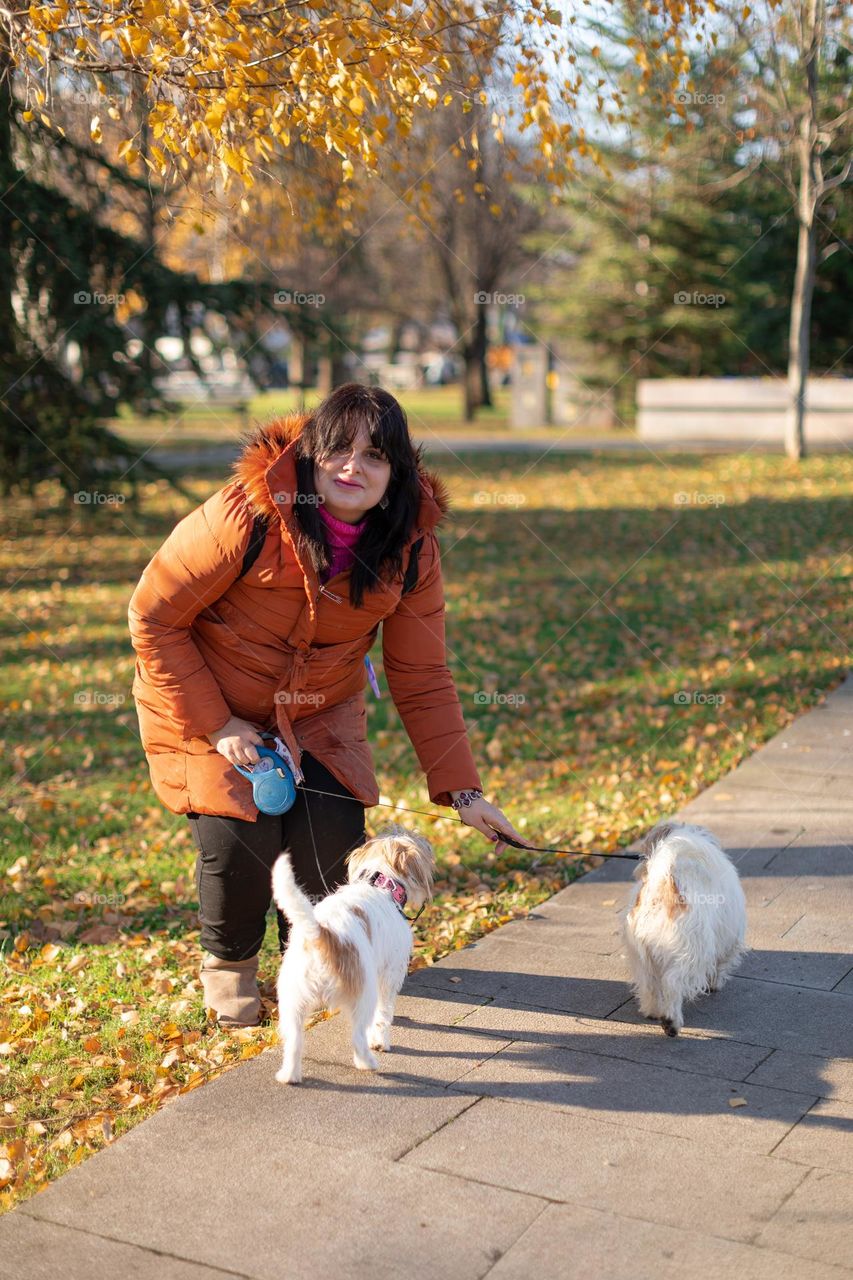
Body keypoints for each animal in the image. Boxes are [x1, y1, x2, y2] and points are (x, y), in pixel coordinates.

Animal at [270, 824, 435, 1085]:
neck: (381, 884)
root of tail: (321, 933)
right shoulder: (390, 975)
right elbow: (383, 1014)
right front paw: (380, 1042)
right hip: (363, 995)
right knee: (358, 1036)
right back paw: (367, 1062)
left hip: (291, 1002)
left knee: (294, 1042)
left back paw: (290, 1075)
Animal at [617, 819, 742, 1039]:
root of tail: (661, 881)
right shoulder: (728, 937)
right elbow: (721, 963)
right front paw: (715, 983)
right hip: (691, 952)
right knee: (672, 983)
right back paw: (671, 1022)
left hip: (641, 956)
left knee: (649, 984)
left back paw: (652, 1011)